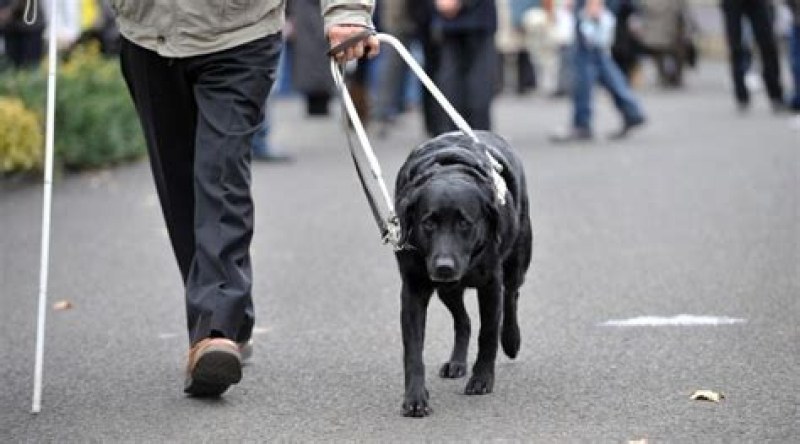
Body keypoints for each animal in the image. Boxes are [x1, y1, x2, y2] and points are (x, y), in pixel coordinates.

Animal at [392, 129, 532, 416]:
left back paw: (511, 340)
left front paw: (482, 379)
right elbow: (413, 349)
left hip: (517, 261)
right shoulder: (413, 288)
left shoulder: (491, 284)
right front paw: (415, 396)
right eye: (428, 223)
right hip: (447, 288)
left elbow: (488, 333)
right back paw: (456, 362)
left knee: (512, 296)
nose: (444, 266)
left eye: (465, 223)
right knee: (463, 320)